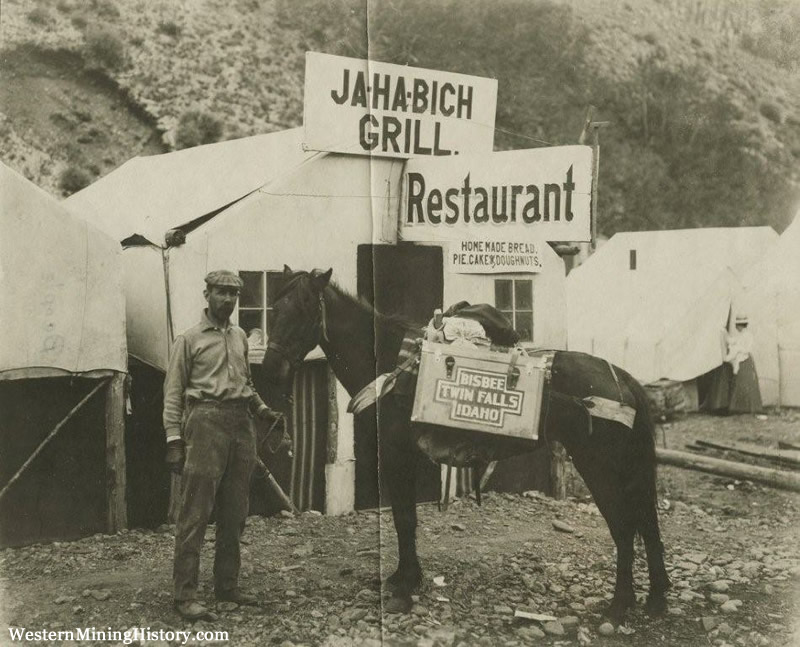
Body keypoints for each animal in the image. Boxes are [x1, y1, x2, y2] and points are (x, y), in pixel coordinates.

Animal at [260, 266, 668, 620]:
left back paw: (620, 605)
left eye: (303, 308)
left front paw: (405, 586)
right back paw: (655, 600)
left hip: (599, 466)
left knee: (624, 527)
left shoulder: (397, 455)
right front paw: (405, 578)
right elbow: (404, 520)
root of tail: (621, 379)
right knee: (647, 524)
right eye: (274, 308)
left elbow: (404, 519)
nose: (270, 370)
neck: (391, 367)